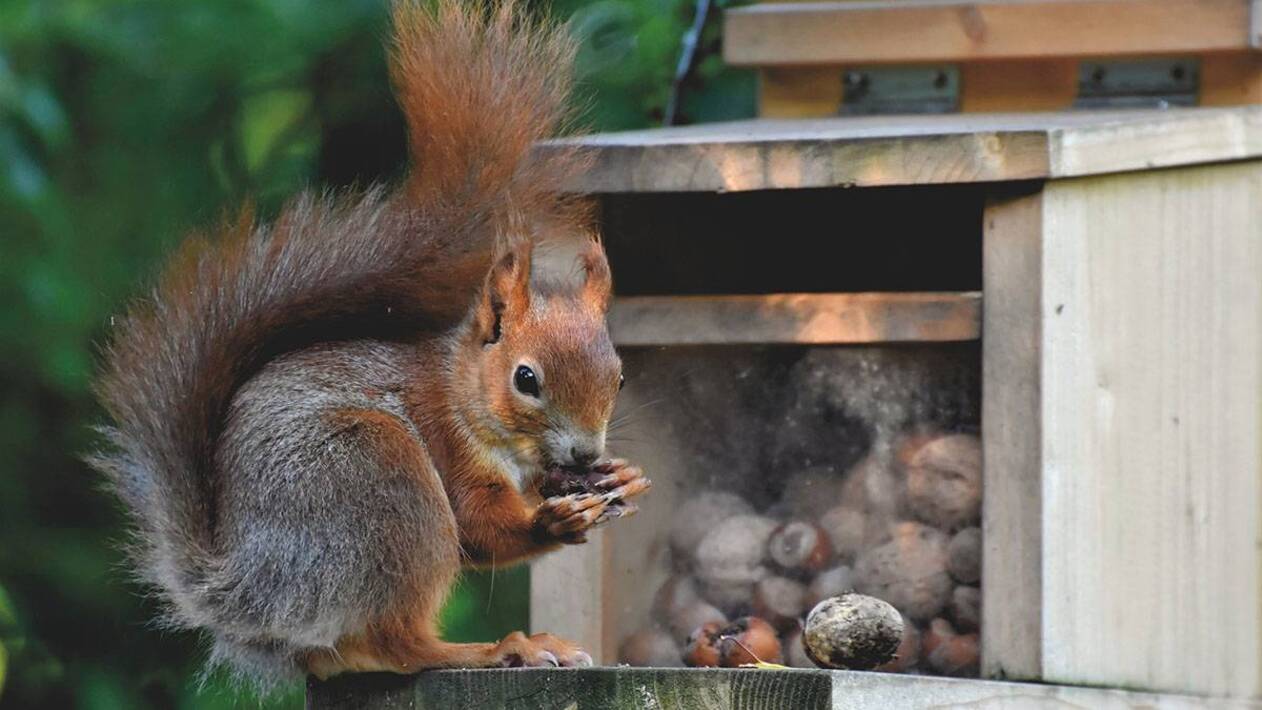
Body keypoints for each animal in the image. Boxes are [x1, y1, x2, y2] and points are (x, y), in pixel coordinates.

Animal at [86, 1, 651, 691]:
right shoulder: (448, 446)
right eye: (526, 379)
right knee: (401, 643)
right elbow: (480, 529)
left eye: (619, 378)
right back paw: (498, 649)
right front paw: (554, 518)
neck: (465, 394)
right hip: (380, 482)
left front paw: (619, 477)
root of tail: (252, 590)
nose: (585, 452)